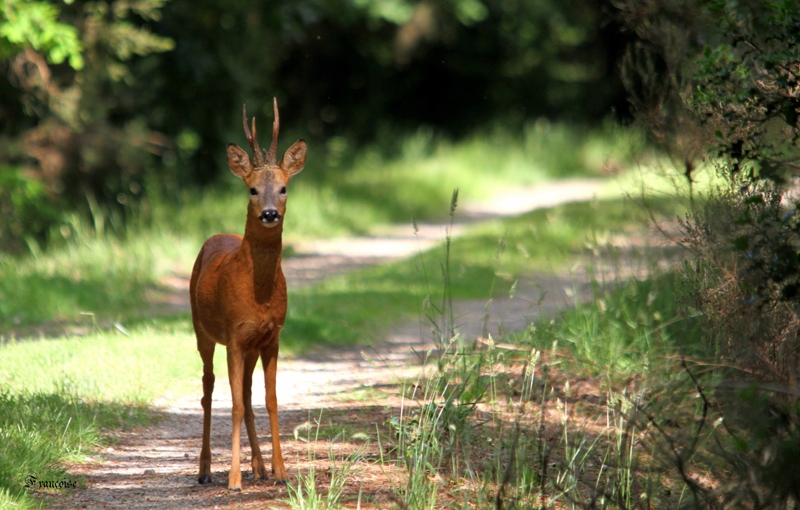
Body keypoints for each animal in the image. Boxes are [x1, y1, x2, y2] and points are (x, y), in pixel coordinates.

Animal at [189, 98, 308, 490]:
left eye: (284, 187)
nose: (269, 213)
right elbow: (236, 404)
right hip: (202, 331)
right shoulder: (233, 335)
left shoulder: (271, 336)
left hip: (251, 346)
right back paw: (206, 469)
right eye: (251, 189)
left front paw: (281, 471)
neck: (258, 295)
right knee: (208, 390)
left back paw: (259, 467)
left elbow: (269, 399)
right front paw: (234, 478)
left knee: (247, 391)